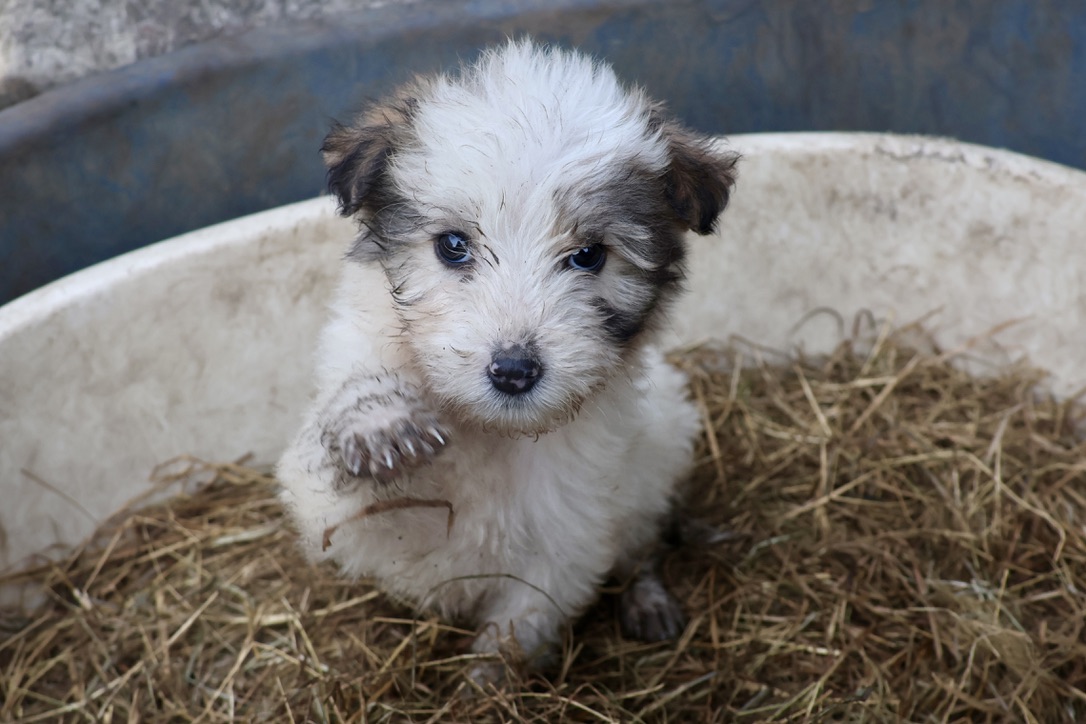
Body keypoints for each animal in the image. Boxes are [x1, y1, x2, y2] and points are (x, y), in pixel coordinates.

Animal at [276, 40, 738, 683]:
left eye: (588, 255)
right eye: (453, 246)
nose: (514, 372)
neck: (493, 432)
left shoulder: (567, 538)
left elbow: (519, 625)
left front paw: (485, 685)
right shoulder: (345, 515)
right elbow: (350, 476)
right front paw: (379, 421)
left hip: (660, 457)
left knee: (641, 547)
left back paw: (648, 601)